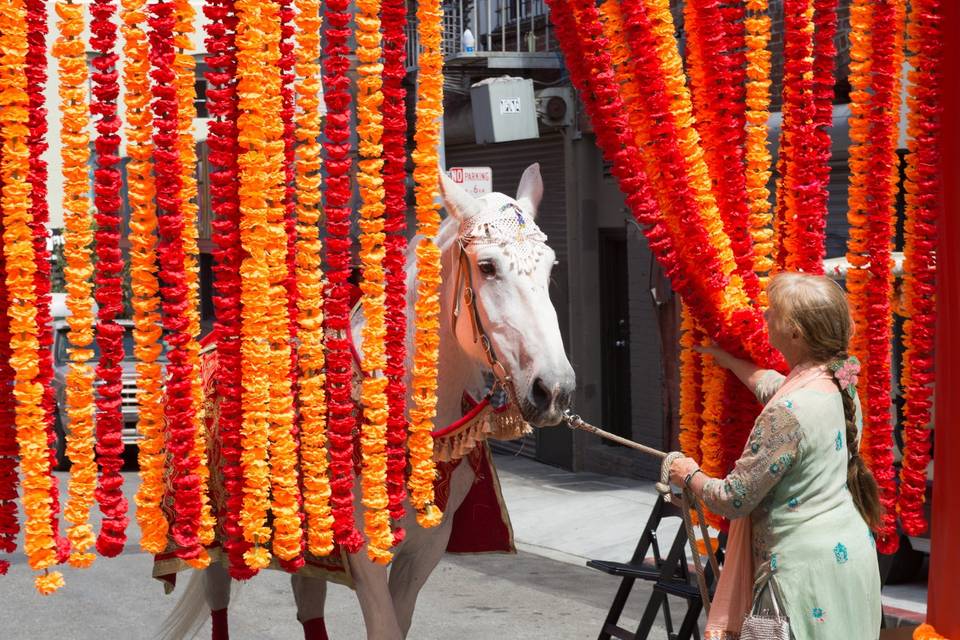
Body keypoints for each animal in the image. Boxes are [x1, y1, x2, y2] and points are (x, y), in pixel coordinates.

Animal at [158, 162, 572, 636]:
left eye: (550, 267)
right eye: (487, 267)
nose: (554, 389)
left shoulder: (424, 550)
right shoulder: (364, 553)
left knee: (308, 599)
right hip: (213, 531)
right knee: (218, 599)